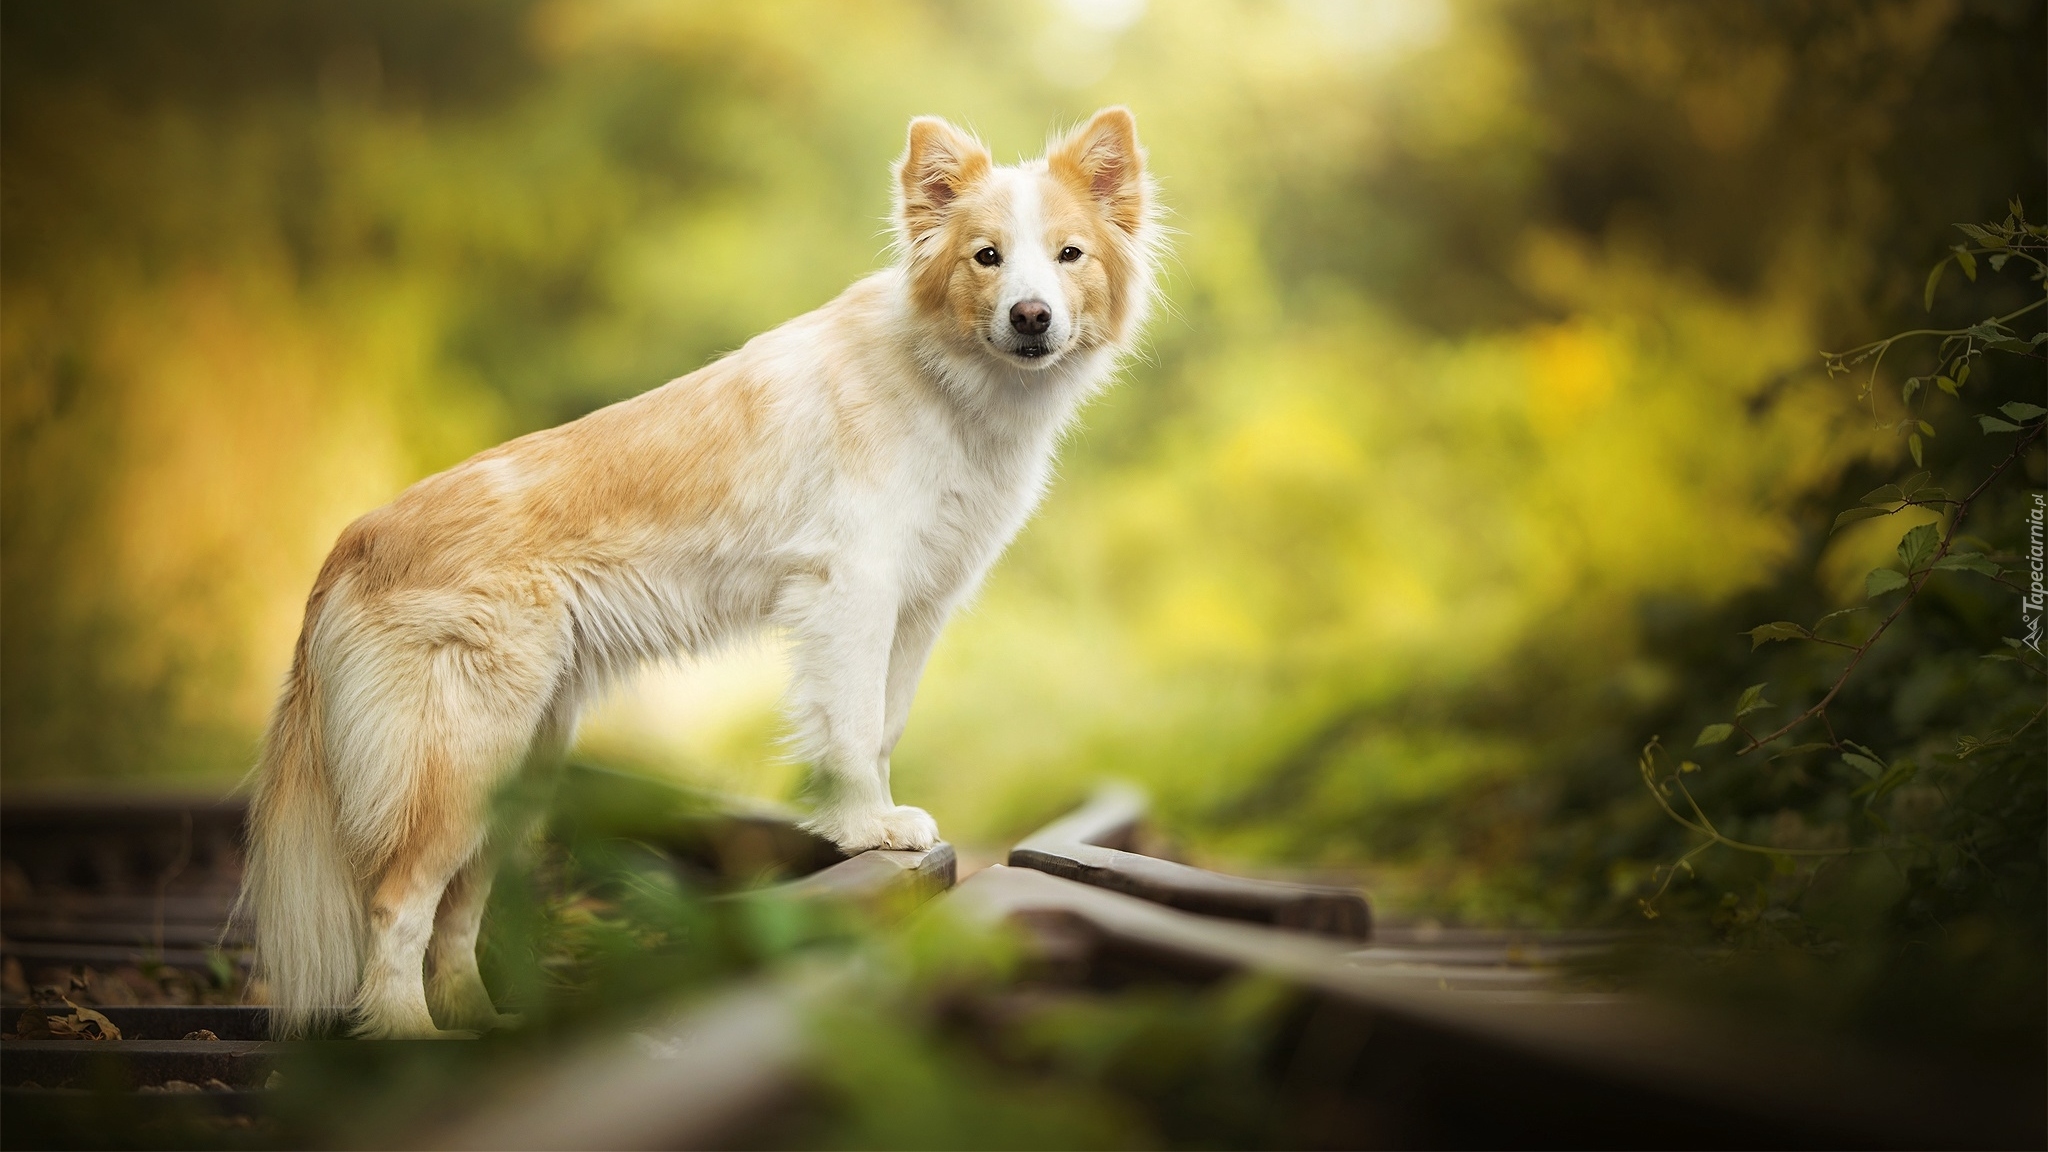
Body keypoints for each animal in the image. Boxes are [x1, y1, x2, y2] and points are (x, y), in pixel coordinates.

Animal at [239, 107, 1163, 1037]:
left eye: (1069, 254)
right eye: (987, 257)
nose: (1031, 317)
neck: (943, 375)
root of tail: (353, 541)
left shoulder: (915, 607)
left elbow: (884, 724)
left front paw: (870, 820)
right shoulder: (851, 592)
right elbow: (852, 727)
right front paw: (866, 829)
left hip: (523, 769)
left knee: (457, 914)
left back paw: (482, 1021)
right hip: (462, 761)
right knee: (398, 905)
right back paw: (409, 1035)